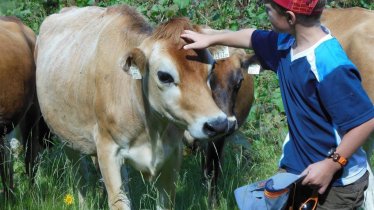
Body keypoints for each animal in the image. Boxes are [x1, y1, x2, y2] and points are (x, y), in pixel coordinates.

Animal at [35, 5, 229, 210]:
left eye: (212, 68)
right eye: (164, 76)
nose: (217, 124)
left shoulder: (172, 156)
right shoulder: (107, 151)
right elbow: (118, 202)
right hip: (67, 138)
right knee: (80, 177)